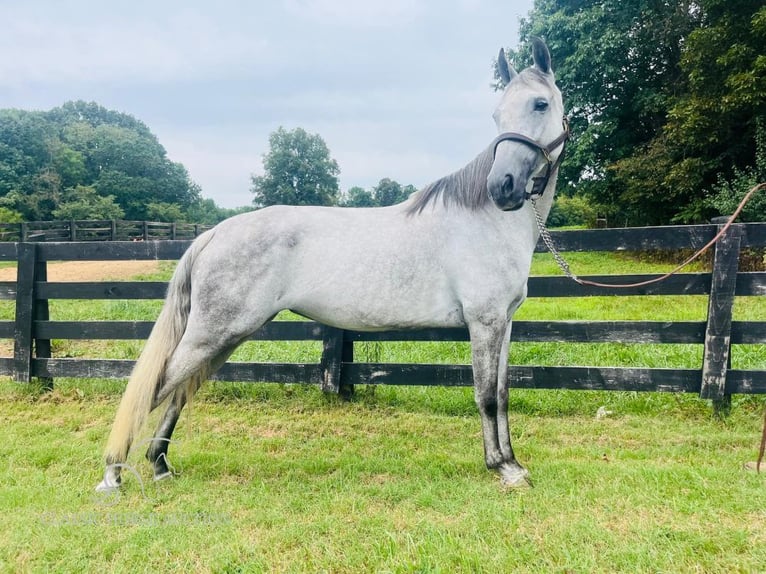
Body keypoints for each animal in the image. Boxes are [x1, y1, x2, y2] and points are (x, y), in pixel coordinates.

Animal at [97, 38, 568, 492]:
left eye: (539, 104)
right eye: (497, 114)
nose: (502, 187)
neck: (483, 222)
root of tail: (215, 233)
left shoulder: (503, 323)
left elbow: (502, 394)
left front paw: (512, 462)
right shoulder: (484, 322)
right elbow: (485, 396)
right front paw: (502, 469)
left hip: (226, 337)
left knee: (180, 391)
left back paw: (159, 465)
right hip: (211, 334)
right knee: (157, 387)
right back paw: (114, 475)